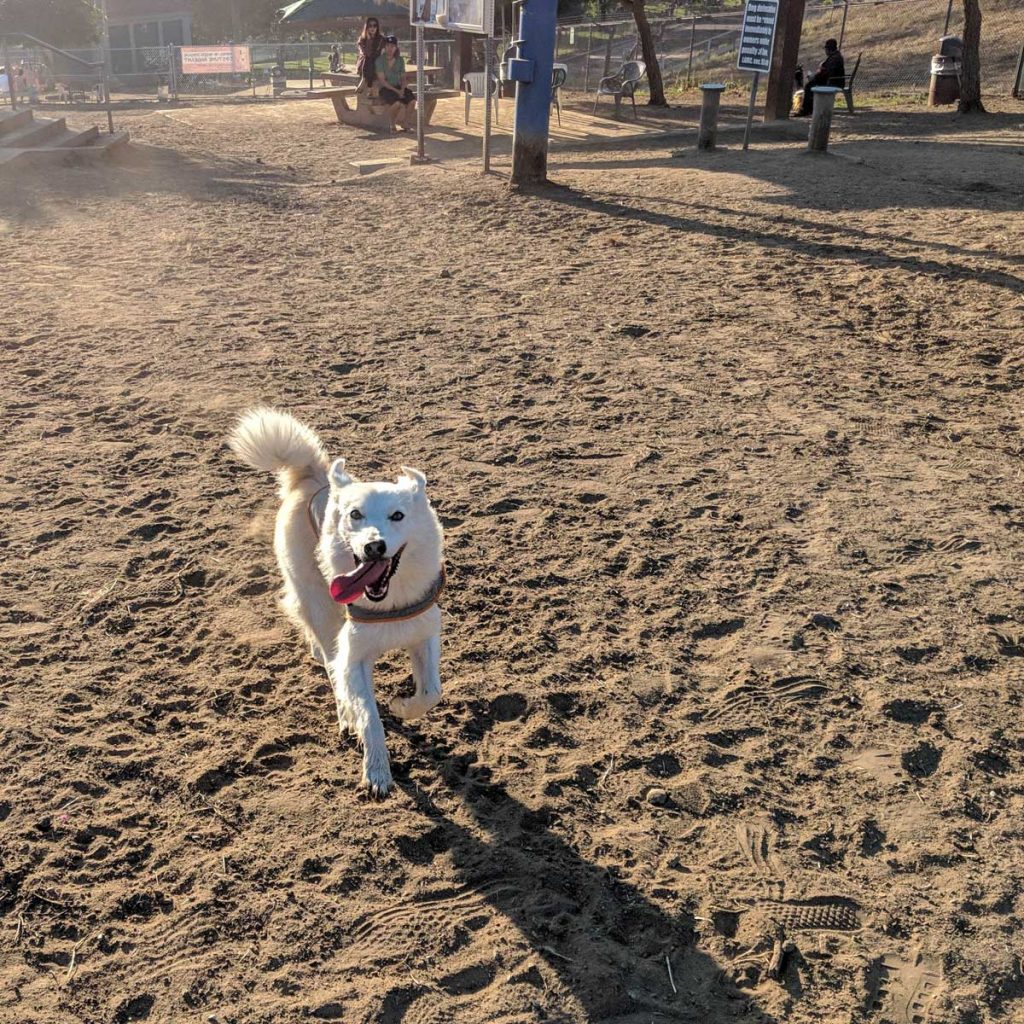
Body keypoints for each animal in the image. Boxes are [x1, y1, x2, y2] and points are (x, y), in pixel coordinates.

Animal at [230, 409, 446, 798]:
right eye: (355, 514)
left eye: (398, 516)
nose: (373, 547)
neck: (388, 603)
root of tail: (313, 476)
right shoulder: (354, 656)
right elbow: (370, 716)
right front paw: (377, 772)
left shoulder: (423, 635)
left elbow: (431, 693)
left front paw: (402, 706)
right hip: (319, 601)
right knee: (329, 659)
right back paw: (344, 711)